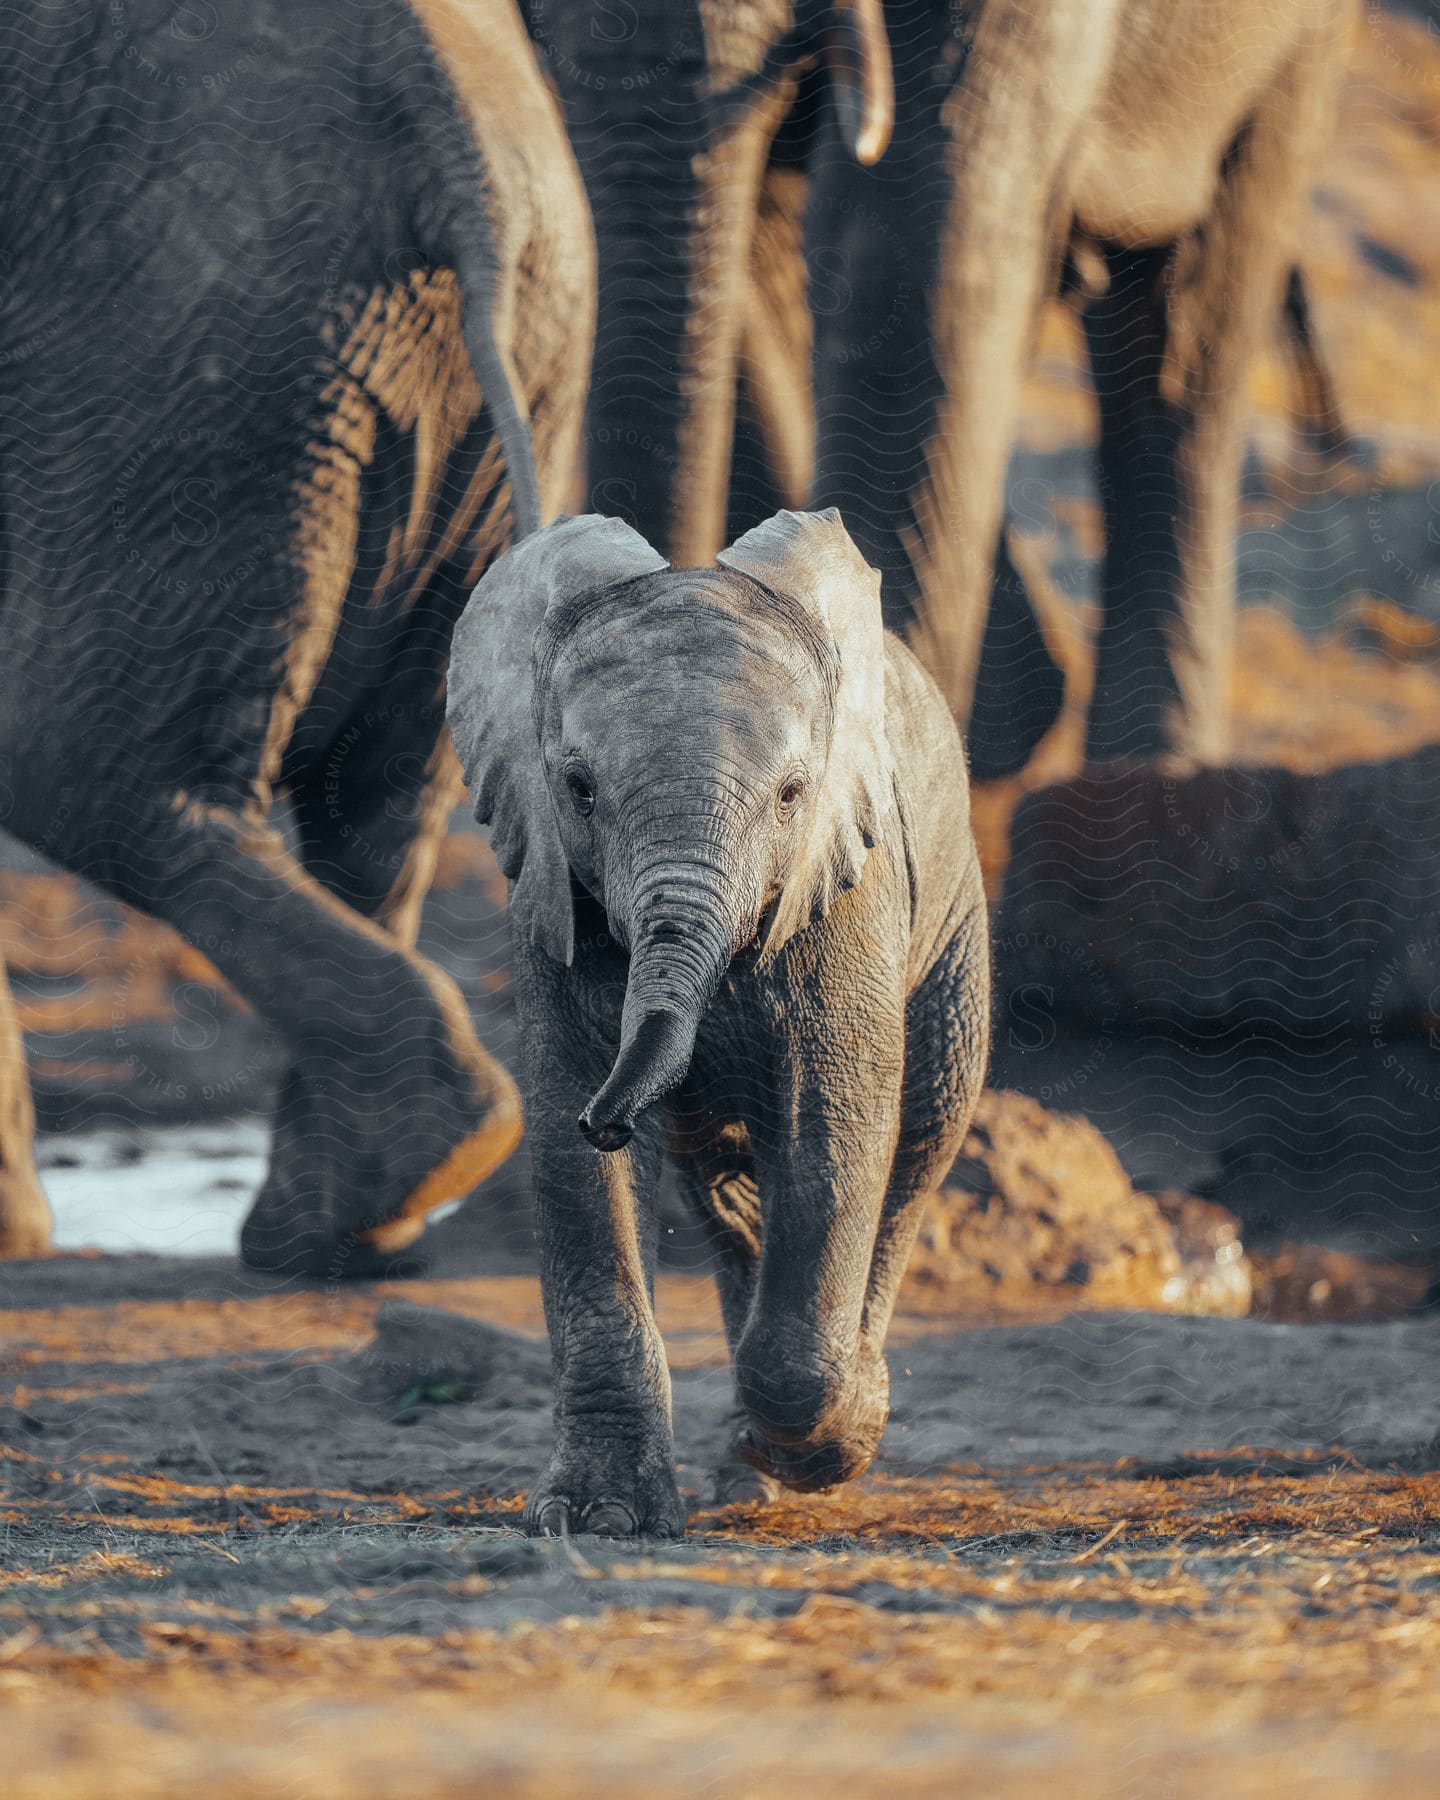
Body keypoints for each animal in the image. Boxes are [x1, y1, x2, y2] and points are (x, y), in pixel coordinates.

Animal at [0, 0, 590, 1281]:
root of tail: (443, 112)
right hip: (498, 367)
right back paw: (357, 1220)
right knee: (382, 800)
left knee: (80, 772)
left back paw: (396, 1180)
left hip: (169, 362)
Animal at [450, 507, 993, 1533]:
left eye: (791, 795)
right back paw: (750, 1474)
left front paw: (824, 1448)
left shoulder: (846, 892)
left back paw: (835, 1422)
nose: (610, 1118)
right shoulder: (548, 894)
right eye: (578, 789)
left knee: (915, 1149)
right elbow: (575, 1172)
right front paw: (595, 1519)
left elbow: (836, 1131)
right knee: (731, 1191)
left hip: (954, 928)